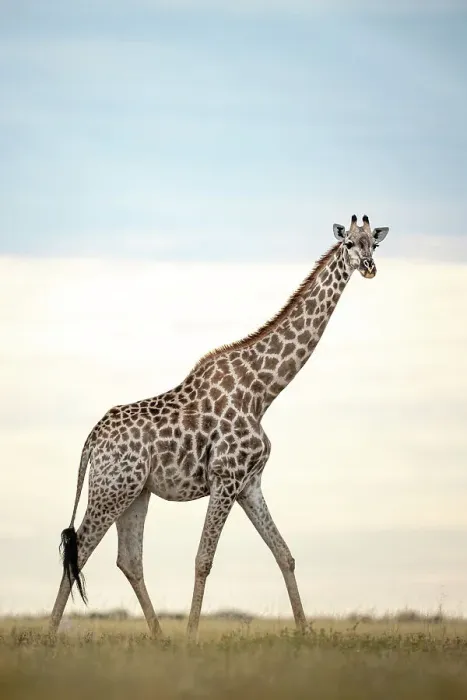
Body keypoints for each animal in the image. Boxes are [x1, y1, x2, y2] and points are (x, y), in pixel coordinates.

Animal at [49, 214, 389, 641]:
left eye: (374, 244)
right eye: (348, 244)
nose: (370, 268)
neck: (261, 392)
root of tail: (92, 439)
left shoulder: (249, 483)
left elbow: (284, 554)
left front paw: (305, 632)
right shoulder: (225, 478)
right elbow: (204, 559)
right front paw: (192, 637)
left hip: (135, 492)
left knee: (128, 559)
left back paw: (158, 637)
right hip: (112, 488)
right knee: (79, 550)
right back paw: (49, 635)